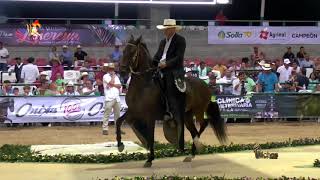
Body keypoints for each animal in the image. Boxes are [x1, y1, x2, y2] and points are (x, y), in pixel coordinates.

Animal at [116, 35, 226, 167]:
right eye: (123, 51)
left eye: (132, 52)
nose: (122, 71)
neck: (144, 85)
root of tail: (205, 84)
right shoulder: (133, 111)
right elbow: (119, 121)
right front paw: (120, 145)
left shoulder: (149, 116)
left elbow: (150, 136)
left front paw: (150, 159)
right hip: (187, 116)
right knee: (194, 130)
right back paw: (191, 154)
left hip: (198, 110)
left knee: (204, 123)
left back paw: (197, 146)